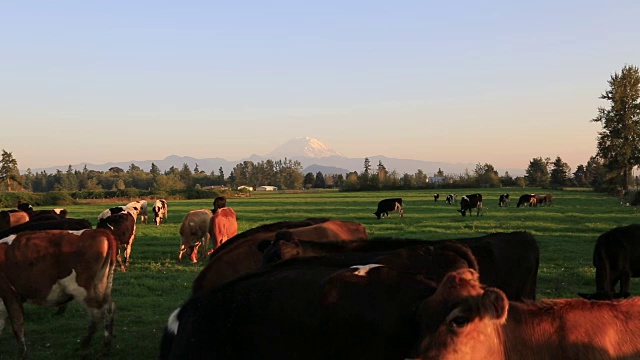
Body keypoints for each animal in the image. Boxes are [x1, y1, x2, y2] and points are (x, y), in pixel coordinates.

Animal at [0, 228, 117, 358]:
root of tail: (98, 231)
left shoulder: (10, 293)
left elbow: (17, 325)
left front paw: (22, 354)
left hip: (85, 290)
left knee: (100, 313)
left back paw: (93, 346)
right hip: (101, 287)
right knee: (108, 309)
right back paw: (99, 346)